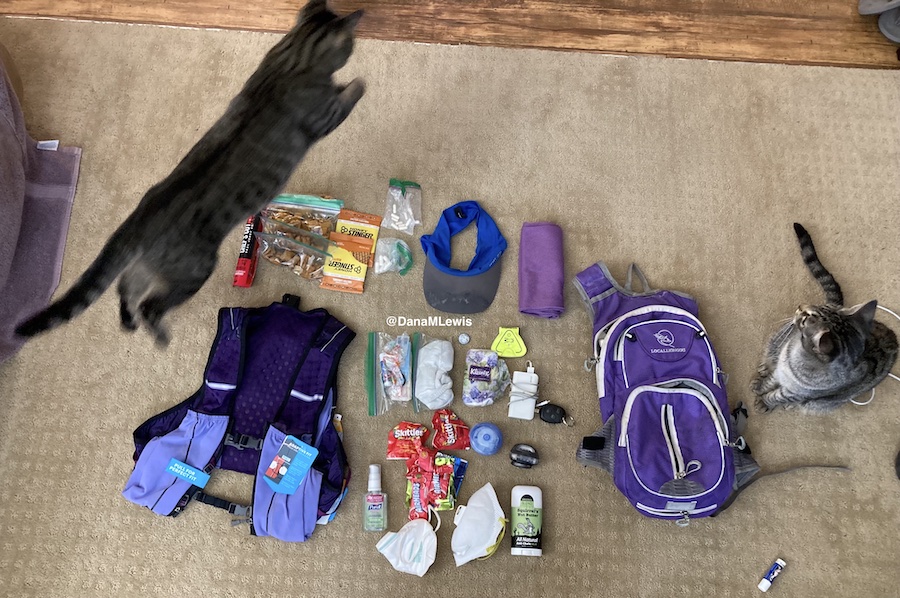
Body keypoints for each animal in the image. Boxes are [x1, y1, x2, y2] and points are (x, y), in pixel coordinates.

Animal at [15, 0, 366, 346]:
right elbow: (350, 95)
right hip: (195, 269)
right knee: (150, 305)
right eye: (351, 45)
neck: (294, 58)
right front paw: (358, 82)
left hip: (151, 267)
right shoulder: (324, 115)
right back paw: (158, 335)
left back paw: (127, 321)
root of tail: (140, 220)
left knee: (126, 285)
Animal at [748, 223, 896, 414]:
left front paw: (765, 402)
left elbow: (776, 396)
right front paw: (760, 386)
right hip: (779, 338)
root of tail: (895, 338)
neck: (793, 359)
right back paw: (766, 365)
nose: (800, 306)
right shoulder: (781, 370)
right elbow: (770, 380)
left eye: (806, 318)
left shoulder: (794, 392)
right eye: (818, 306)